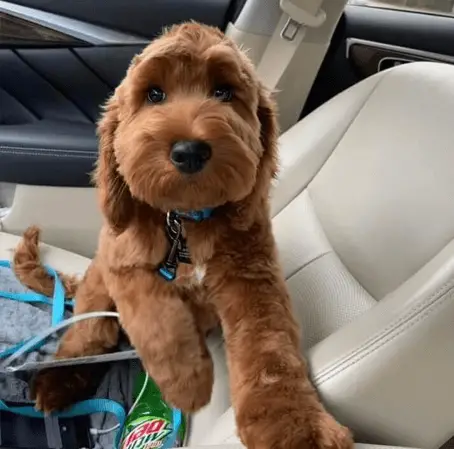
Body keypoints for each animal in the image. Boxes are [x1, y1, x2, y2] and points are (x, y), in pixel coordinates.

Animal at [14, 22, 352, 448]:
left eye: (223, 92)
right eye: (154, 94)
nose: (190, 151)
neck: (185, 221)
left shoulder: (253, 279)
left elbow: (270, 349)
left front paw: (297, 426)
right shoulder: (123, 262)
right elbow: (159, 319)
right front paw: (187, 382)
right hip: (97, 294)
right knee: (88, 335)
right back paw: (59, 380)